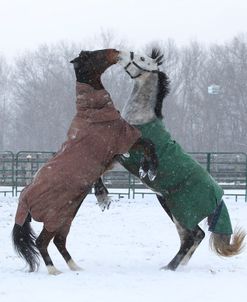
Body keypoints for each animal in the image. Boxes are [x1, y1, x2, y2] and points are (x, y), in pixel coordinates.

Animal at [11, 48, 158, 274]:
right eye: (95, 55)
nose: (117, 51)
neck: (92, 112)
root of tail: (24, 200)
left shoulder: (113, 157)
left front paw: (105, 195)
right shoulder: (124, 140)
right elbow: (149, 144)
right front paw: (149, 170)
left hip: (66, 217)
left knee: (59, 241)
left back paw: (75, 267)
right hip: (54, 218)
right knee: (42, 242)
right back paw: (54, 270)